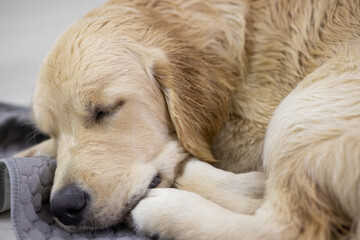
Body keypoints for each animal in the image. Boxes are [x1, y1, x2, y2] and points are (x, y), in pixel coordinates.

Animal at [16, 0, 360, 239]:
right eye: (52, 131)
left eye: (106, 110)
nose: (63, 207)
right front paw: (31, 151)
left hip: (304, 105)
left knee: (285, 225)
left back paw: (167, 209)